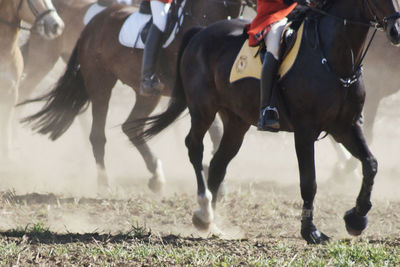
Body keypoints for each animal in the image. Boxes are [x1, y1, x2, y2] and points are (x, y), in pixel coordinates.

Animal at [20, 0, 248, 193]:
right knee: (98, 134)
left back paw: (156, 176)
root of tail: (93, 24)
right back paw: (104, 182)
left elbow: (217, 131)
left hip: (146, 94)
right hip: (96, 81)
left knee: (131, 126)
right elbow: (215, 131)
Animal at [128, 0, 400, 245]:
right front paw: (310, 231)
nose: (396, 31)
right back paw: (204, 208)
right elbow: (309, 182)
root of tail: (200, 33)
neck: (333, 57)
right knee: (195, 148)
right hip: (203, 110)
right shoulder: (305, 131)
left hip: (236, 122)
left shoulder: (346, 126)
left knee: (217, 164)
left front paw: (357, 218)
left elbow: (370, 164)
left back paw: (210, 221)